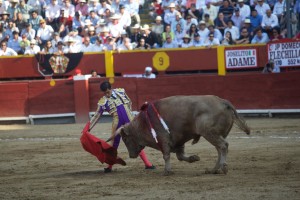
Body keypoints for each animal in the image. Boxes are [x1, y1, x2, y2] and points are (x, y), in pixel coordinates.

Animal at [116, 95, 250, 175]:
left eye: (125, 139)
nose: (131, 155)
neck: (144, 122)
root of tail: (223, 102)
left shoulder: (163, 138)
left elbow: (166, 155)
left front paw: (167, 171)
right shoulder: (178, 141)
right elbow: (180, 156)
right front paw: (194, 158)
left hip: (209, 133)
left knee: (223, 146)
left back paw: (224, 167)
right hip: (216, 134)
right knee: (219, 149)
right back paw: (213, 169)